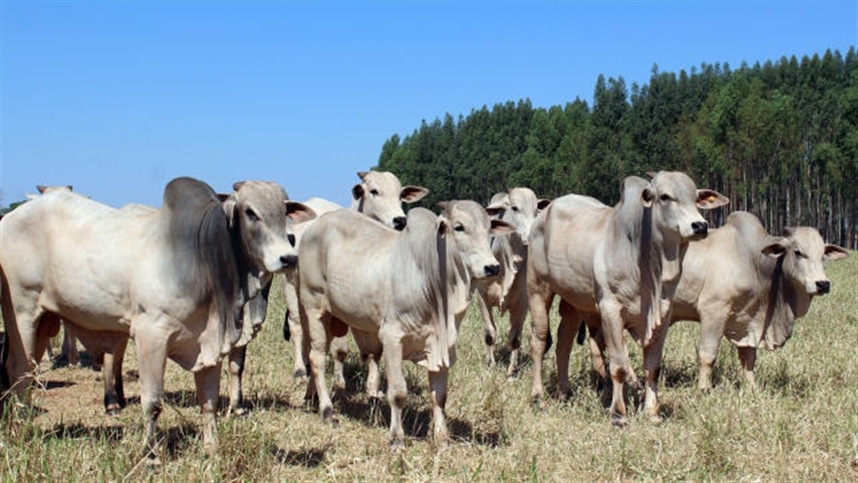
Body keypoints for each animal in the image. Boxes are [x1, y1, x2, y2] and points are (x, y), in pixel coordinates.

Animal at [0, 178, 308, 466]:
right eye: (250, 212)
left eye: (284, 211)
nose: (288, 257)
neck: (201, 258)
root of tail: (10, 218)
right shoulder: (151, 335)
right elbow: (152, 402)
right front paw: (150, 454)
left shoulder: (210, 342)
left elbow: (209, 401)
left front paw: (212, 450)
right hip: (22, 313)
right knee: (19, 370)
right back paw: (20, 430)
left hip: (45, 320)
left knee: (26, 371)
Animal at [298, 199, 508, 446]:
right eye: (459, 227)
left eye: (489, 229)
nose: (492, 267)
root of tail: (314, 226)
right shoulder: (392, 338)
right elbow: (398, 393)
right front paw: (396, 438)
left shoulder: (441, 345)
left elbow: (440, 396)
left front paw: (442, 437)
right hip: (314, 308)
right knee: (317, 358)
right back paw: (327, 410)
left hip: (332, 317)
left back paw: (311, 398)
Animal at [474, 187, 548, 376]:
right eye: (514, 208)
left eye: (536, 210)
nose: (531, 235)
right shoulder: (482, 297)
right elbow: (490, 333)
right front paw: (491, 363)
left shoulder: (522, 302)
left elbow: (515, 338)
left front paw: (512, 371)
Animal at [524, 172, 724, 426]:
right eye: (665, 196)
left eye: (696, 198)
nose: (700, 225)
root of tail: (546, 211)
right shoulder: (610, 311)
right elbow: (618, 366)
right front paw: (618, 414)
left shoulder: (663, 315)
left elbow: (653, 368)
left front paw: (652, 412)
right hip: (538, 289)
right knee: (539, 341)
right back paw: (537, 396)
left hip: (574, 301)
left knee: (564, 342)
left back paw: (564, 392)